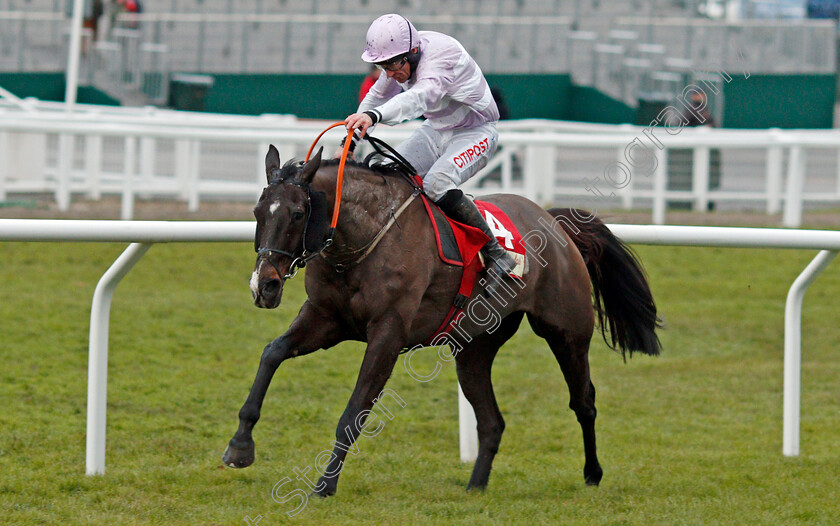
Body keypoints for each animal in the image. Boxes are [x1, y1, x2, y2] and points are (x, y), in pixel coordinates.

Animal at [223, 145, 664, 500]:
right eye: (258, 212)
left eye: (298, 213)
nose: (264, 285)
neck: (365, 238)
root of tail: (555, 223)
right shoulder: (326, 318)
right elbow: (272, 353)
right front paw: (240, 446)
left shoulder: (388, 333)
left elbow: (354, 410)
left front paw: (324, 485)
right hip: (474, 348)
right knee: (491, 422)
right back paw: (475, 486)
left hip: (567, 332)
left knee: (583, 402)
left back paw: (593, 473)